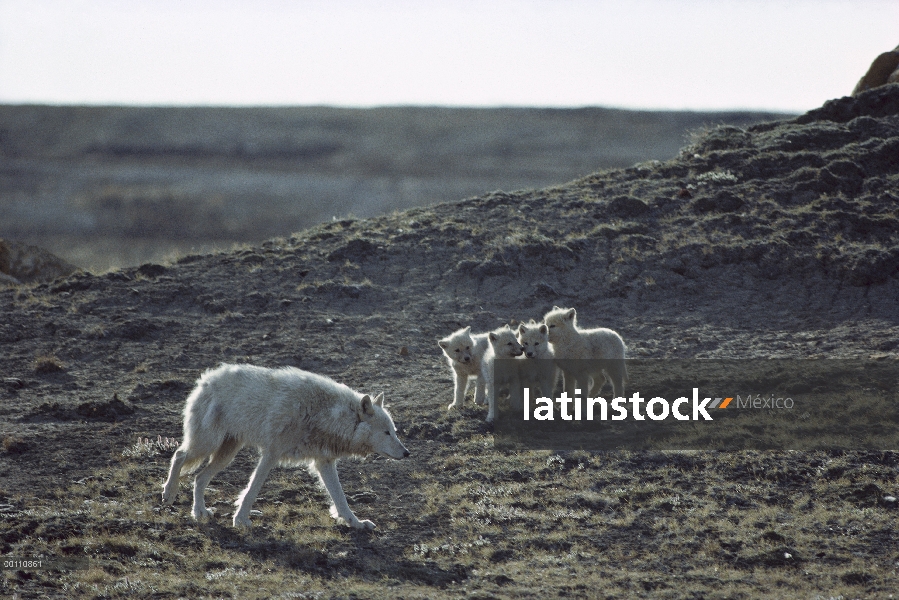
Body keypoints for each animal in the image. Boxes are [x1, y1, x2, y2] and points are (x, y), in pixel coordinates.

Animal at [163, 364, 412, 528]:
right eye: (387, 432)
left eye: (394, 431)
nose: (407, 453)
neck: (325, 414)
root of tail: (206, 379)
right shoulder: (271, 454)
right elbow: (251, 491)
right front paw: (241, 520)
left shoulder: (324, 462)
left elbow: (340, 499)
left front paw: (356, 523)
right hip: (207, 444)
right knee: (179, 455)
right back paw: (169, 493)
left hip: (226, 454)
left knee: (199, 478)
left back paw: (199, 512)